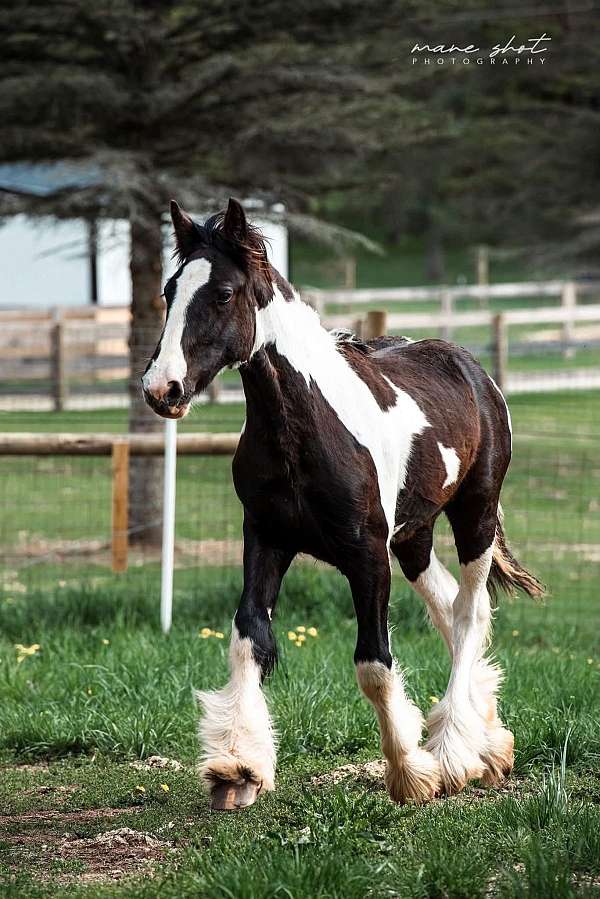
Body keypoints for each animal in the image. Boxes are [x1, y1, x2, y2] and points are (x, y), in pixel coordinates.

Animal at [143, 198, 543, 810]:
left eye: (225, 294)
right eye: (170, 290)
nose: (161, 389)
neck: (304, 429)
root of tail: (470, 366)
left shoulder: (366, 555)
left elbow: (374, 663)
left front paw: (411, 773)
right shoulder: (267, 537)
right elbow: (249, 636)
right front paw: (238, 768)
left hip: (473, 515)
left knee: (470, 612)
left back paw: (457, 751)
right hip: (414, 537)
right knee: (448, 606)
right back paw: (489, 740)